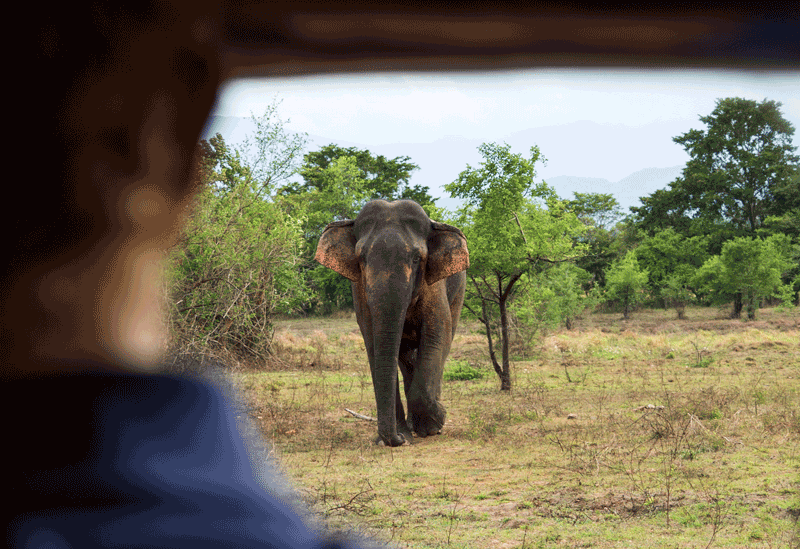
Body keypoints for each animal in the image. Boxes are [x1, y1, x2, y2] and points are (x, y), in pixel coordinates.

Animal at [316, 199, 472, 448]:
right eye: (361, 259)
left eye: (417, 258)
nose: (395, 439)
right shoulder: (359, 289)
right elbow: (373, 342)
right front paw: (399, 437)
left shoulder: (433, 286)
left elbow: (437, 334)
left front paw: (435, 422)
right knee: (405, 357)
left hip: (459, 292)